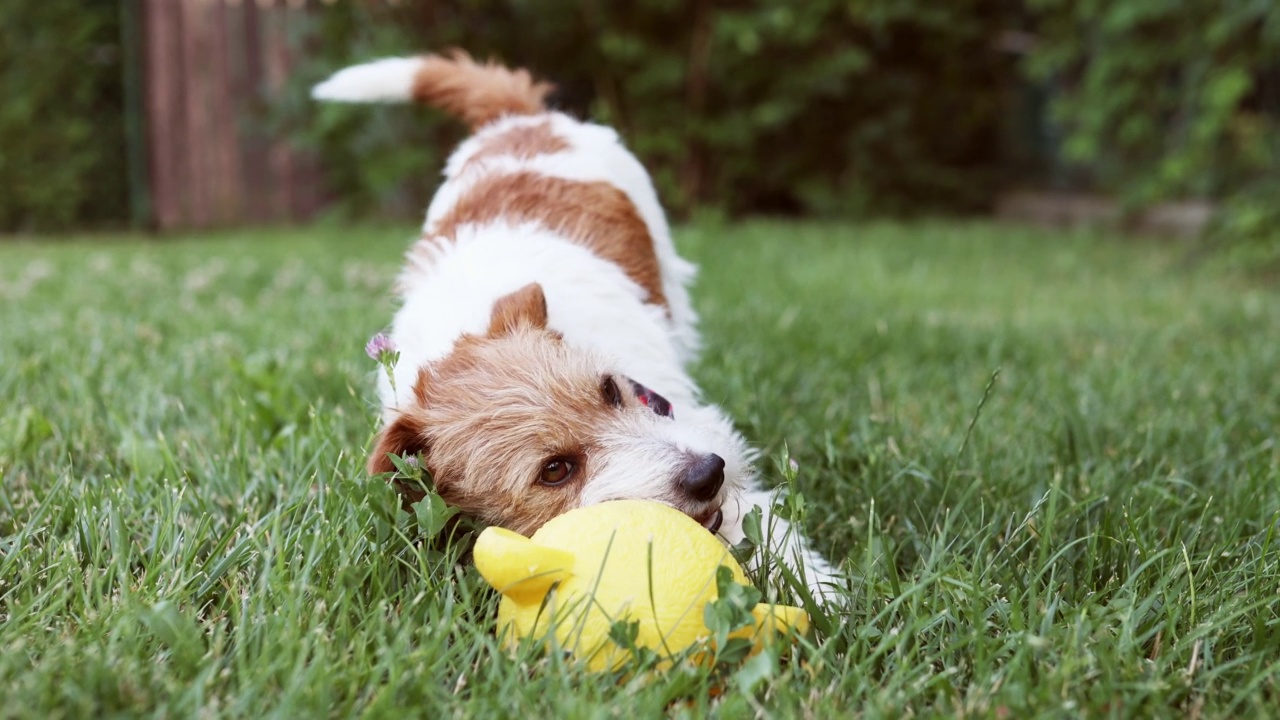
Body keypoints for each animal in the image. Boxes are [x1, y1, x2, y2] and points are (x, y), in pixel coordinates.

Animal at [311, 51, 839, 599]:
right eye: (555, 471)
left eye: (610, 390)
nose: (707, 473)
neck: (463, 325)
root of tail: (518, 120)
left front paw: (824, 595)